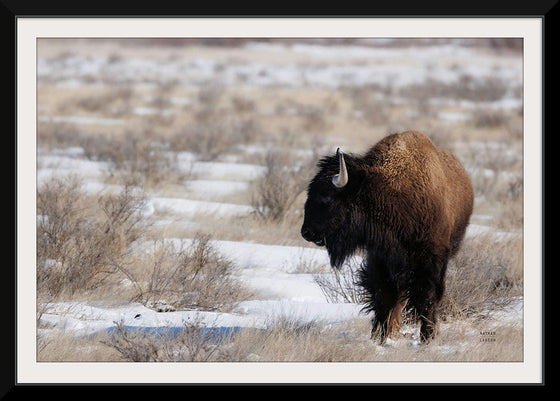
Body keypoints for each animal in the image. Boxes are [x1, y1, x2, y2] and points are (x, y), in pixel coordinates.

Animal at [302, 130, 472, 342]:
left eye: (327, 198)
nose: (306, 232)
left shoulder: (431, 259)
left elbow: (427, 298)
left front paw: (428, 338)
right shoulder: (381, 258)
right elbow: (384, 298)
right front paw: (378, 338)